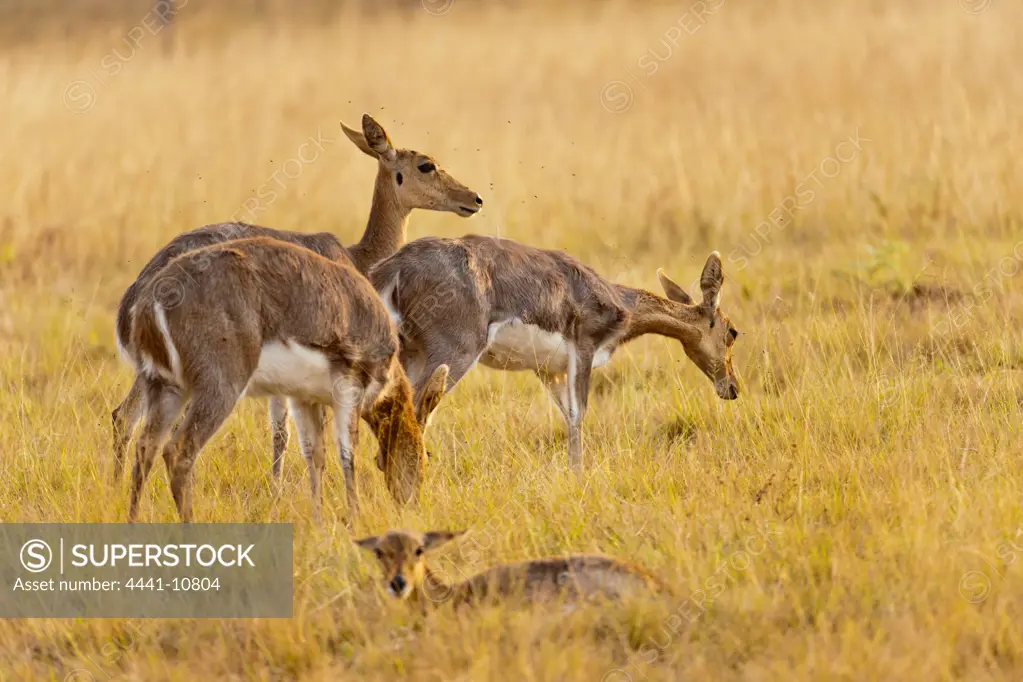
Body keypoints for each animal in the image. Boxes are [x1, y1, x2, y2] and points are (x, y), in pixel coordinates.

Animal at [114, 113, 480, 480]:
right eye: (426, 164)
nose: (474, 198)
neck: (356, 256)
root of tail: (141, 295)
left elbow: (281, 432)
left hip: (158, 375)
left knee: (124, 418)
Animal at [124, 239, 443, 523]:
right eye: (424, 456)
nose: (410, 504)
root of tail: (156, 297)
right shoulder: (348, 390)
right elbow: (347, 455)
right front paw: (355, 520)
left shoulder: (304, 399)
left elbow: (315, 456)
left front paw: (318, 520)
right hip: (219, 390)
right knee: (177, 451)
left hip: (167, 388)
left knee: (145, 447)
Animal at [372, 236, 740, 470]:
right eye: (733, 332)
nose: (733, 387)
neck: (621, 304)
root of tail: (395, 267)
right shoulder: (584, 351)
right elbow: (578, 416)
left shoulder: (549, 370)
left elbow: (567, 418)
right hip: (450, 355)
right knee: (416, 412)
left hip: (408, 355)